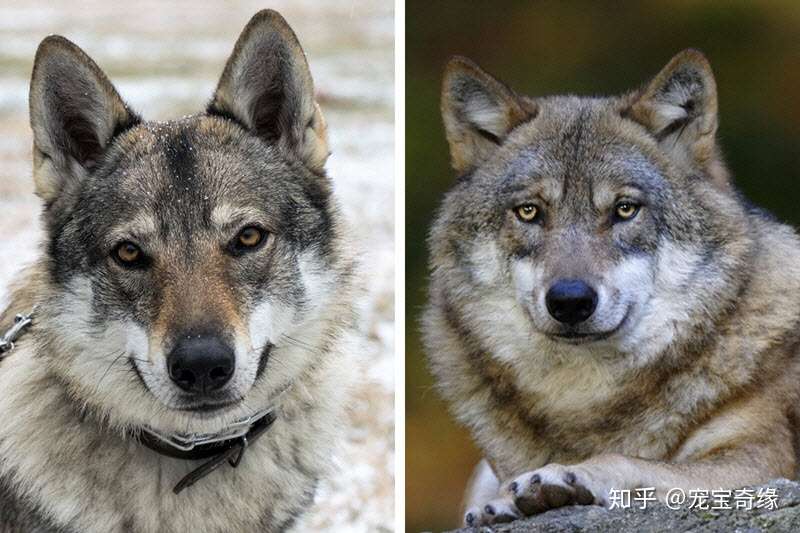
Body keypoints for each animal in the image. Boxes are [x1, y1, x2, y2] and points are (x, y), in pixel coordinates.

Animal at [422, 47, 800, 524]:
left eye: (624, 209)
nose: (570, 301)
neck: (581, 399)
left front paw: (561, 478)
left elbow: (630, 461)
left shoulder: (764, 460)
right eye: (529, 211)